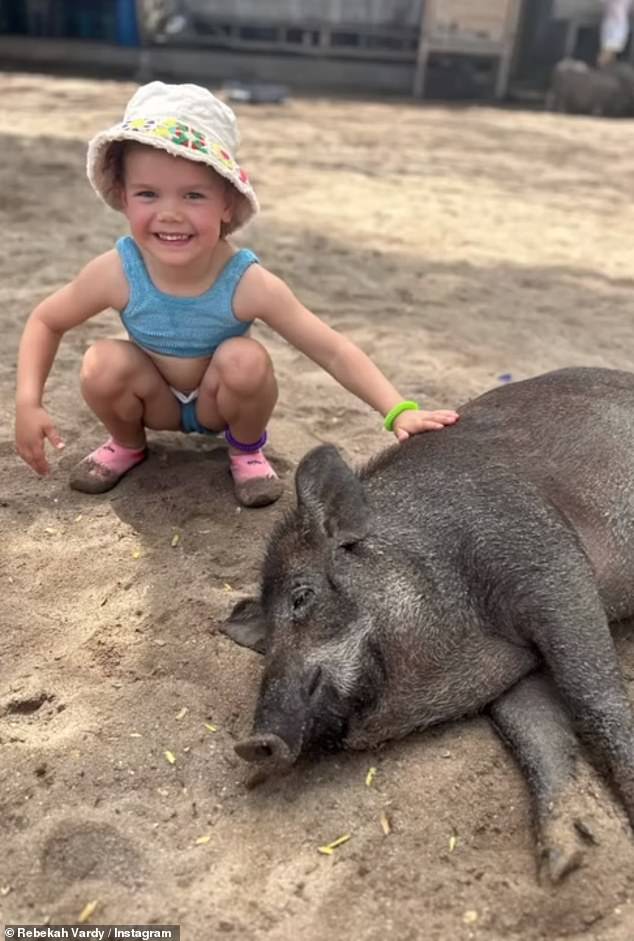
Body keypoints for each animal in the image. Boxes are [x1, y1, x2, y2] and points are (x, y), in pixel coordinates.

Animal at [223, 370, 632, 880]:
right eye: (265, 643)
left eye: (301, 597)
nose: (252, 743)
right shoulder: (515, 668)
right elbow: (539, 738)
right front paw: (559, 866)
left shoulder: (551, 568)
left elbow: (592, 698)